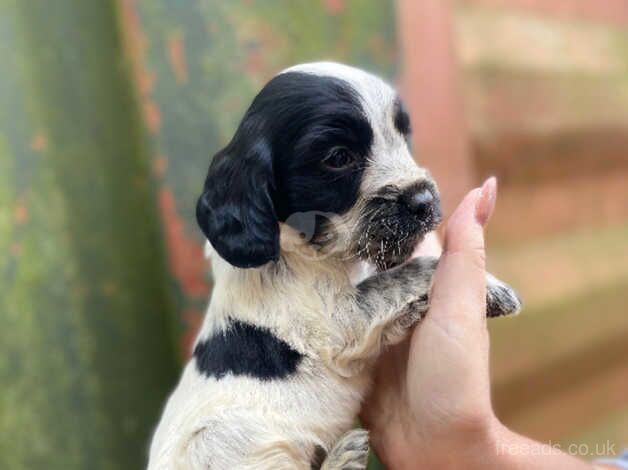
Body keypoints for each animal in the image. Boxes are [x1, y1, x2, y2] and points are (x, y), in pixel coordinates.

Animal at [148, 62, 520, 470]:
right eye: (338, 158)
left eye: (403, 136)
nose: (423, 201)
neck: (310, 250)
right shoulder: (339, 321)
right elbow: (409, 273)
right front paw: (490, 286)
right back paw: (344, 457)